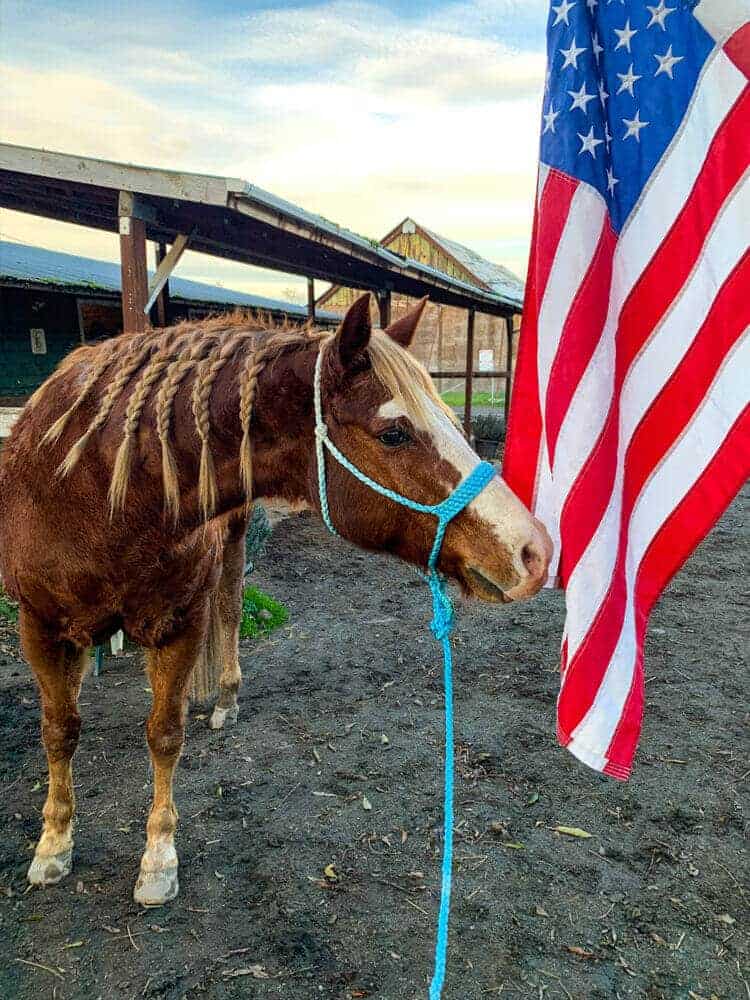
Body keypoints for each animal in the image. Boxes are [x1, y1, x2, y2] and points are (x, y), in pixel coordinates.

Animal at [0, 293, 552, 907]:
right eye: (394, 434)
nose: (534, 551)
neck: (99, 492)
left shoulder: (178, 623)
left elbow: (165, 735)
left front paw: (158, 858)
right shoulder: (39, 626)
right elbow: (59, 731)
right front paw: (53, 844)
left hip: (233, 544)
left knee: (230, 613)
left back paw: (224, 697)